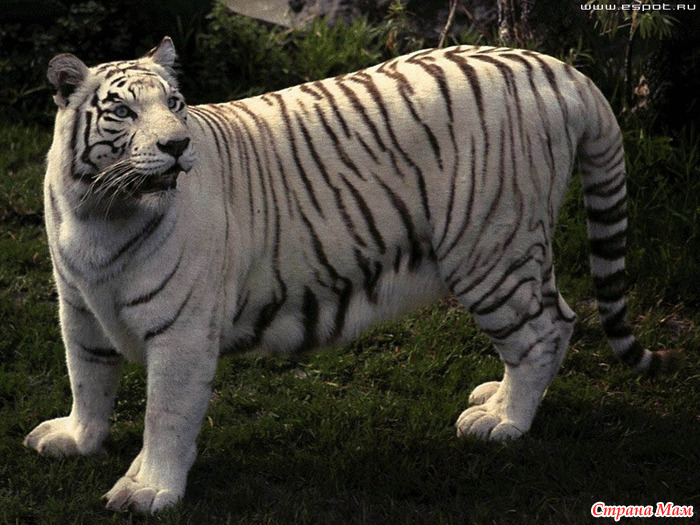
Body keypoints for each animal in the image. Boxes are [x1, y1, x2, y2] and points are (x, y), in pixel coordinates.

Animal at [24, 36, 674, 513]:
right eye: (124, 111)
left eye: (176, 105)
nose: (179, 145)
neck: (100, 212)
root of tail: (559, 69)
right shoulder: (76, 306)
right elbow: (86, 377)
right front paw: (76, 441)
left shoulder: (181, 329)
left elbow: (165, 413)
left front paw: (148, 491)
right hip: (515, 250)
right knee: (550, 319)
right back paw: (496, 396)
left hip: (492, 249)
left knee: (546, 329)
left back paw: (503, 422)